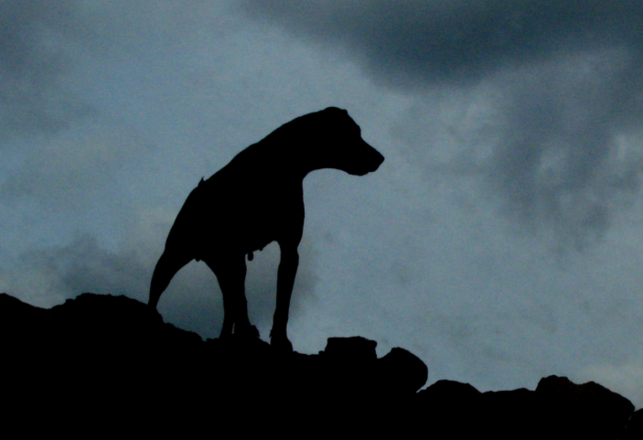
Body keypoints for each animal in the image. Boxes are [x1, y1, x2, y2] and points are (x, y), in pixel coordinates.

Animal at [148, 106, 384, 350]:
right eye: (352, 133)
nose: (380, 158)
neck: (279, 166)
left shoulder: (289, 249)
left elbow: (281, 303)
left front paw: (280, 339)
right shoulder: (236, 250)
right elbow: (243, 299)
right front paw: (252, 333)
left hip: (223, 262)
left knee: (230, 302)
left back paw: (228, 336)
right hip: (175, 255)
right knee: (160, 291)